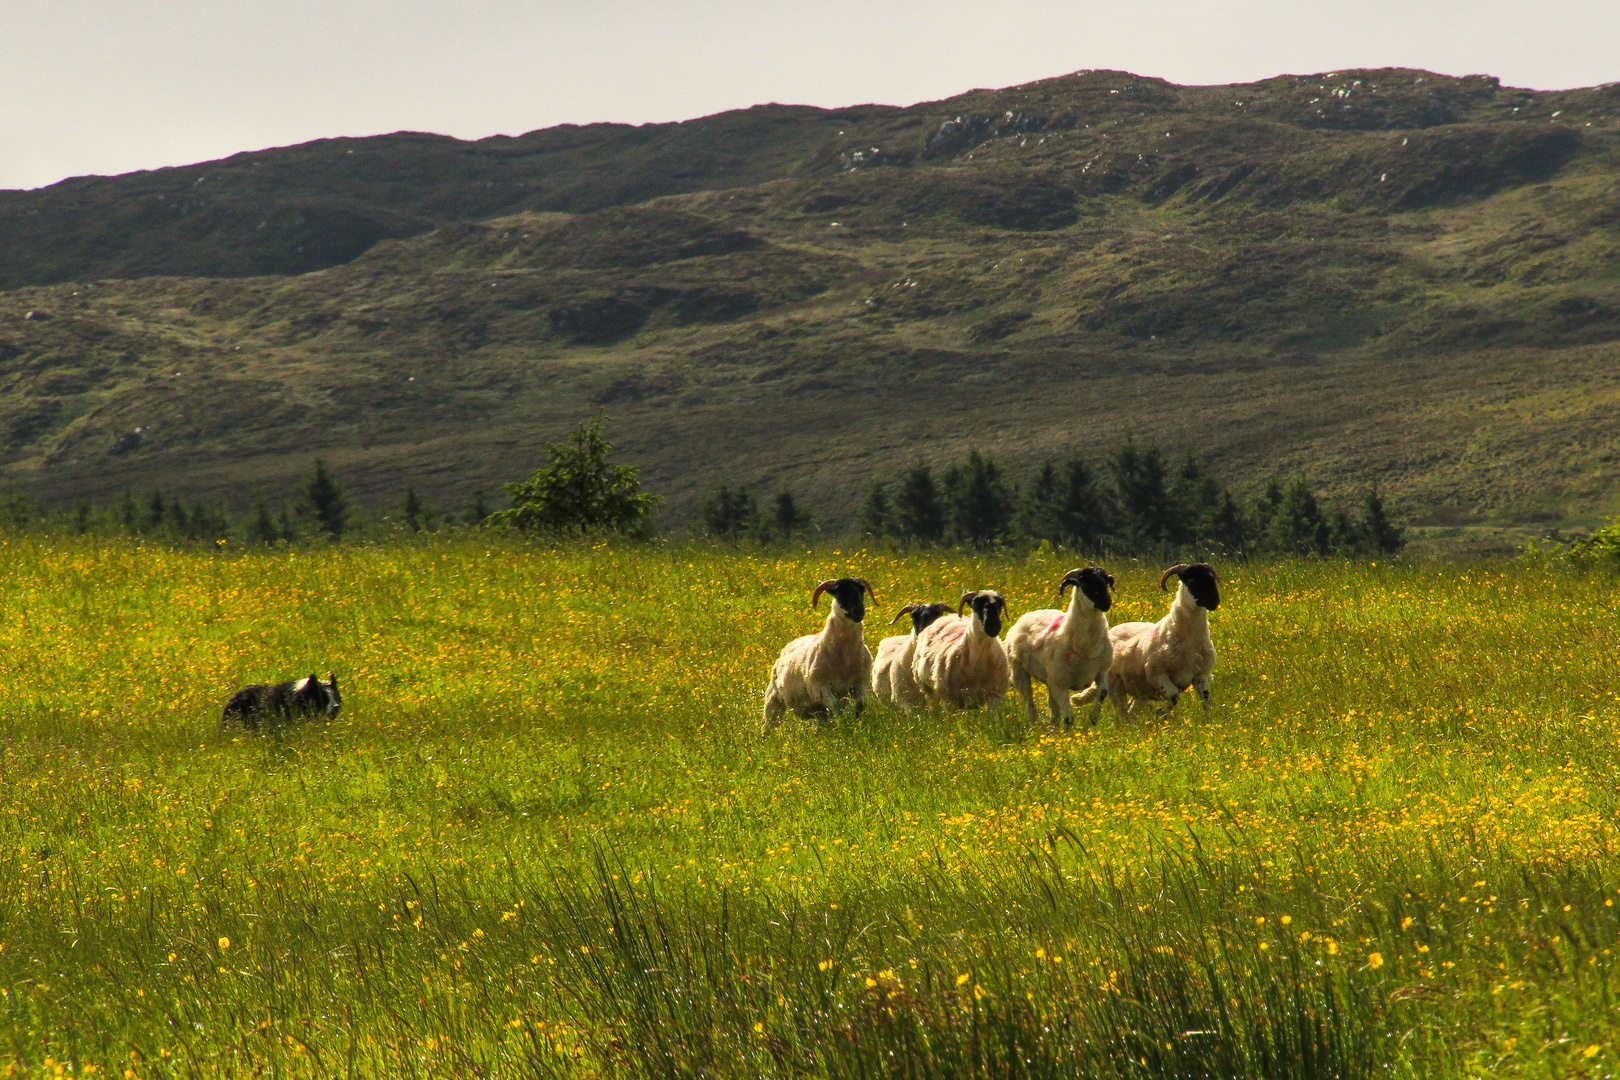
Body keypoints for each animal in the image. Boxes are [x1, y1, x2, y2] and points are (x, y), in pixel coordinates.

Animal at [764, 573, 881, 735]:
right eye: (839, 592)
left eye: (861, 590)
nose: (858, 612)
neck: (845, 659)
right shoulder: (820, 686)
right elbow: (837, 708)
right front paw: (844, 728)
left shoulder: (860, 683)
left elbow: (860, 706)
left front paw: (856, 728)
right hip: (773, 699)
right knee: (769, 723)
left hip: (817, 711)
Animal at [997, 569, 1114, 731]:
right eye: (1085, 583)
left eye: (1106, 582)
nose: (1106, 603)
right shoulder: (1060, 683)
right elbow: (1069, 718)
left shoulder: (1101, 671)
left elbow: (1102, 692)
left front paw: (1093, 718)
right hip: (1021, 672)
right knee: (1030, 703)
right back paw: (1035, 726)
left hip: (1049, 679)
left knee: (1053, 707)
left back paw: (1053, 728)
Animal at [1075, 563, 1218, 722]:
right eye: (1191, 580)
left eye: (1212, 578)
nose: (1214, 602)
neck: (1189, 639)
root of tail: (1111, 631)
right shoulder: (1157, 674)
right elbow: (1174, 696)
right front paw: (1161, 713)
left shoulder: (1201, 675)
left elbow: (1206, 702)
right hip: (1115, 684)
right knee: (1121, 712)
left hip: (1139, 689)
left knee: (1131, 709)